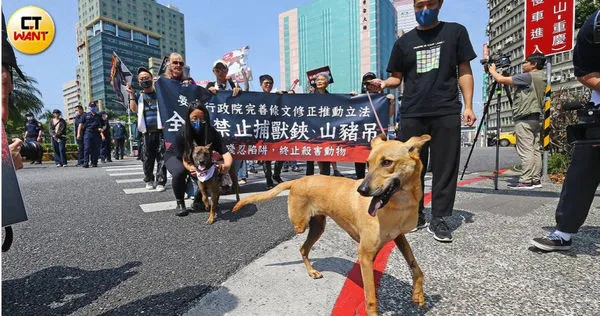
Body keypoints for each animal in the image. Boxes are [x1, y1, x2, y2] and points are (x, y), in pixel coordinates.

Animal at [231, 134, 432, 316]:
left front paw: (418, 294)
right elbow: (371, 297)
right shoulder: (365, 254)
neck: (398, 204)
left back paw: (312, 272)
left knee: (303, 249)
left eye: (387, 162)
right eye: (368, 163)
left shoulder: (399, 236)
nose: (361, 190)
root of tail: (298, 180)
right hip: (301, 224)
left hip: (318, 227)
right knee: (298, 233)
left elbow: (416, 266)